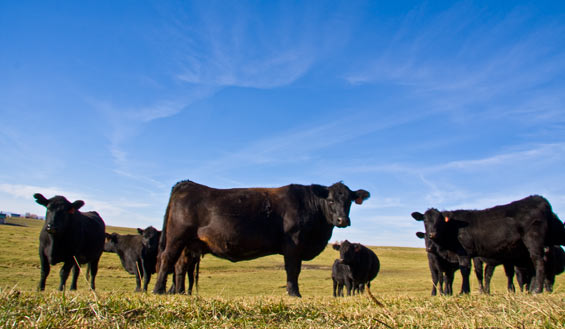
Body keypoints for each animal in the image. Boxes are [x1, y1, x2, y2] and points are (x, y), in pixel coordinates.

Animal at [153, 181, 370, 296]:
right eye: (330, 200)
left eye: (349, 201)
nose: (343, 220)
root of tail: (187, 184)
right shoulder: (293, 245)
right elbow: (293, 270)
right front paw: (294, 294)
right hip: (177, 237)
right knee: (166, 259)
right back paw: (158, 290)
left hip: (190, 244)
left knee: (180, 265)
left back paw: (180, 293)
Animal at [410, 195, 564, 292]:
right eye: (425, 221)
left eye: (440, 221)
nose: (432, 234)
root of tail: (539, 199)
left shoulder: (464, 252)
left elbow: (465, 271)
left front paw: (464, 291)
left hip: (533, 240)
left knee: (538, 261)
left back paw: (537, 290)